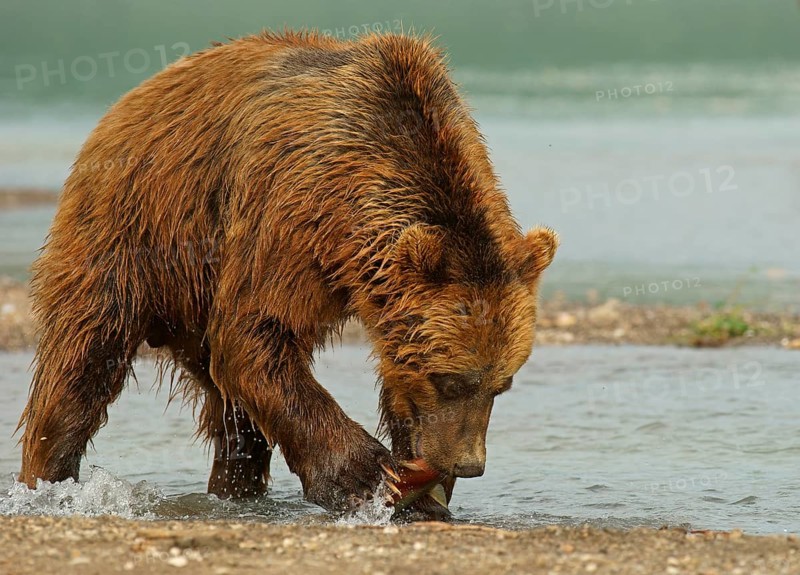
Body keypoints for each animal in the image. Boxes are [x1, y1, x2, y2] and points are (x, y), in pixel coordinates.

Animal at [17, 30, 557, 516]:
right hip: (135, 233)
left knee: (232, 413)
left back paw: (235, 488)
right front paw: (367, 477)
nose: (469, 465)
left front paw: (424, 490)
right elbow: (257, 334)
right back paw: (47, 481)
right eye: (448, 379)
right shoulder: (290, 215)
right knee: (82, 359)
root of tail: (131, 100)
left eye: (502, 384)